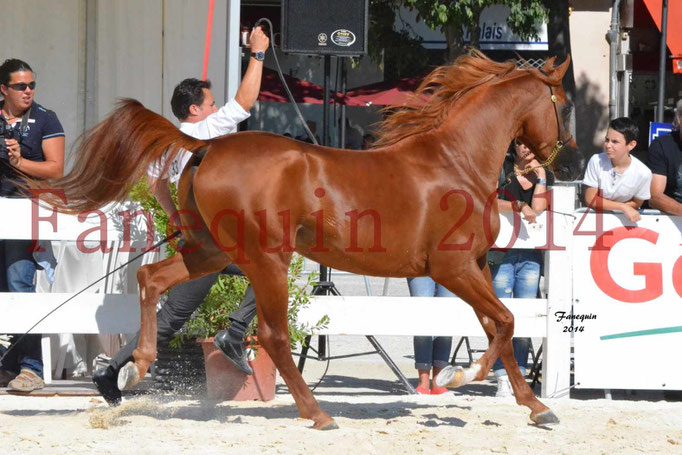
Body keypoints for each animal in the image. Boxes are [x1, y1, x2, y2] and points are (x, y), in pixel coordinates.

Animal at [31, 51, 580, 430]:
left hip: (211, 251)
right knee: (271, 335)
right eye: (567, 105)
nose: (570, 164)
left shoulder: (478, 266)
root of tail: (205, 145)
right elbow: (506, 324)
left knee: (151, 277)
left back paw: (132, 370)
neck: (455, 161)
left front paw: (537, 407)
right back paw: (317, 413)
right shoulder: (453, 269)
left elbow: (498, 329)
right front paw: (458, 378)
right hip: (264, 259)